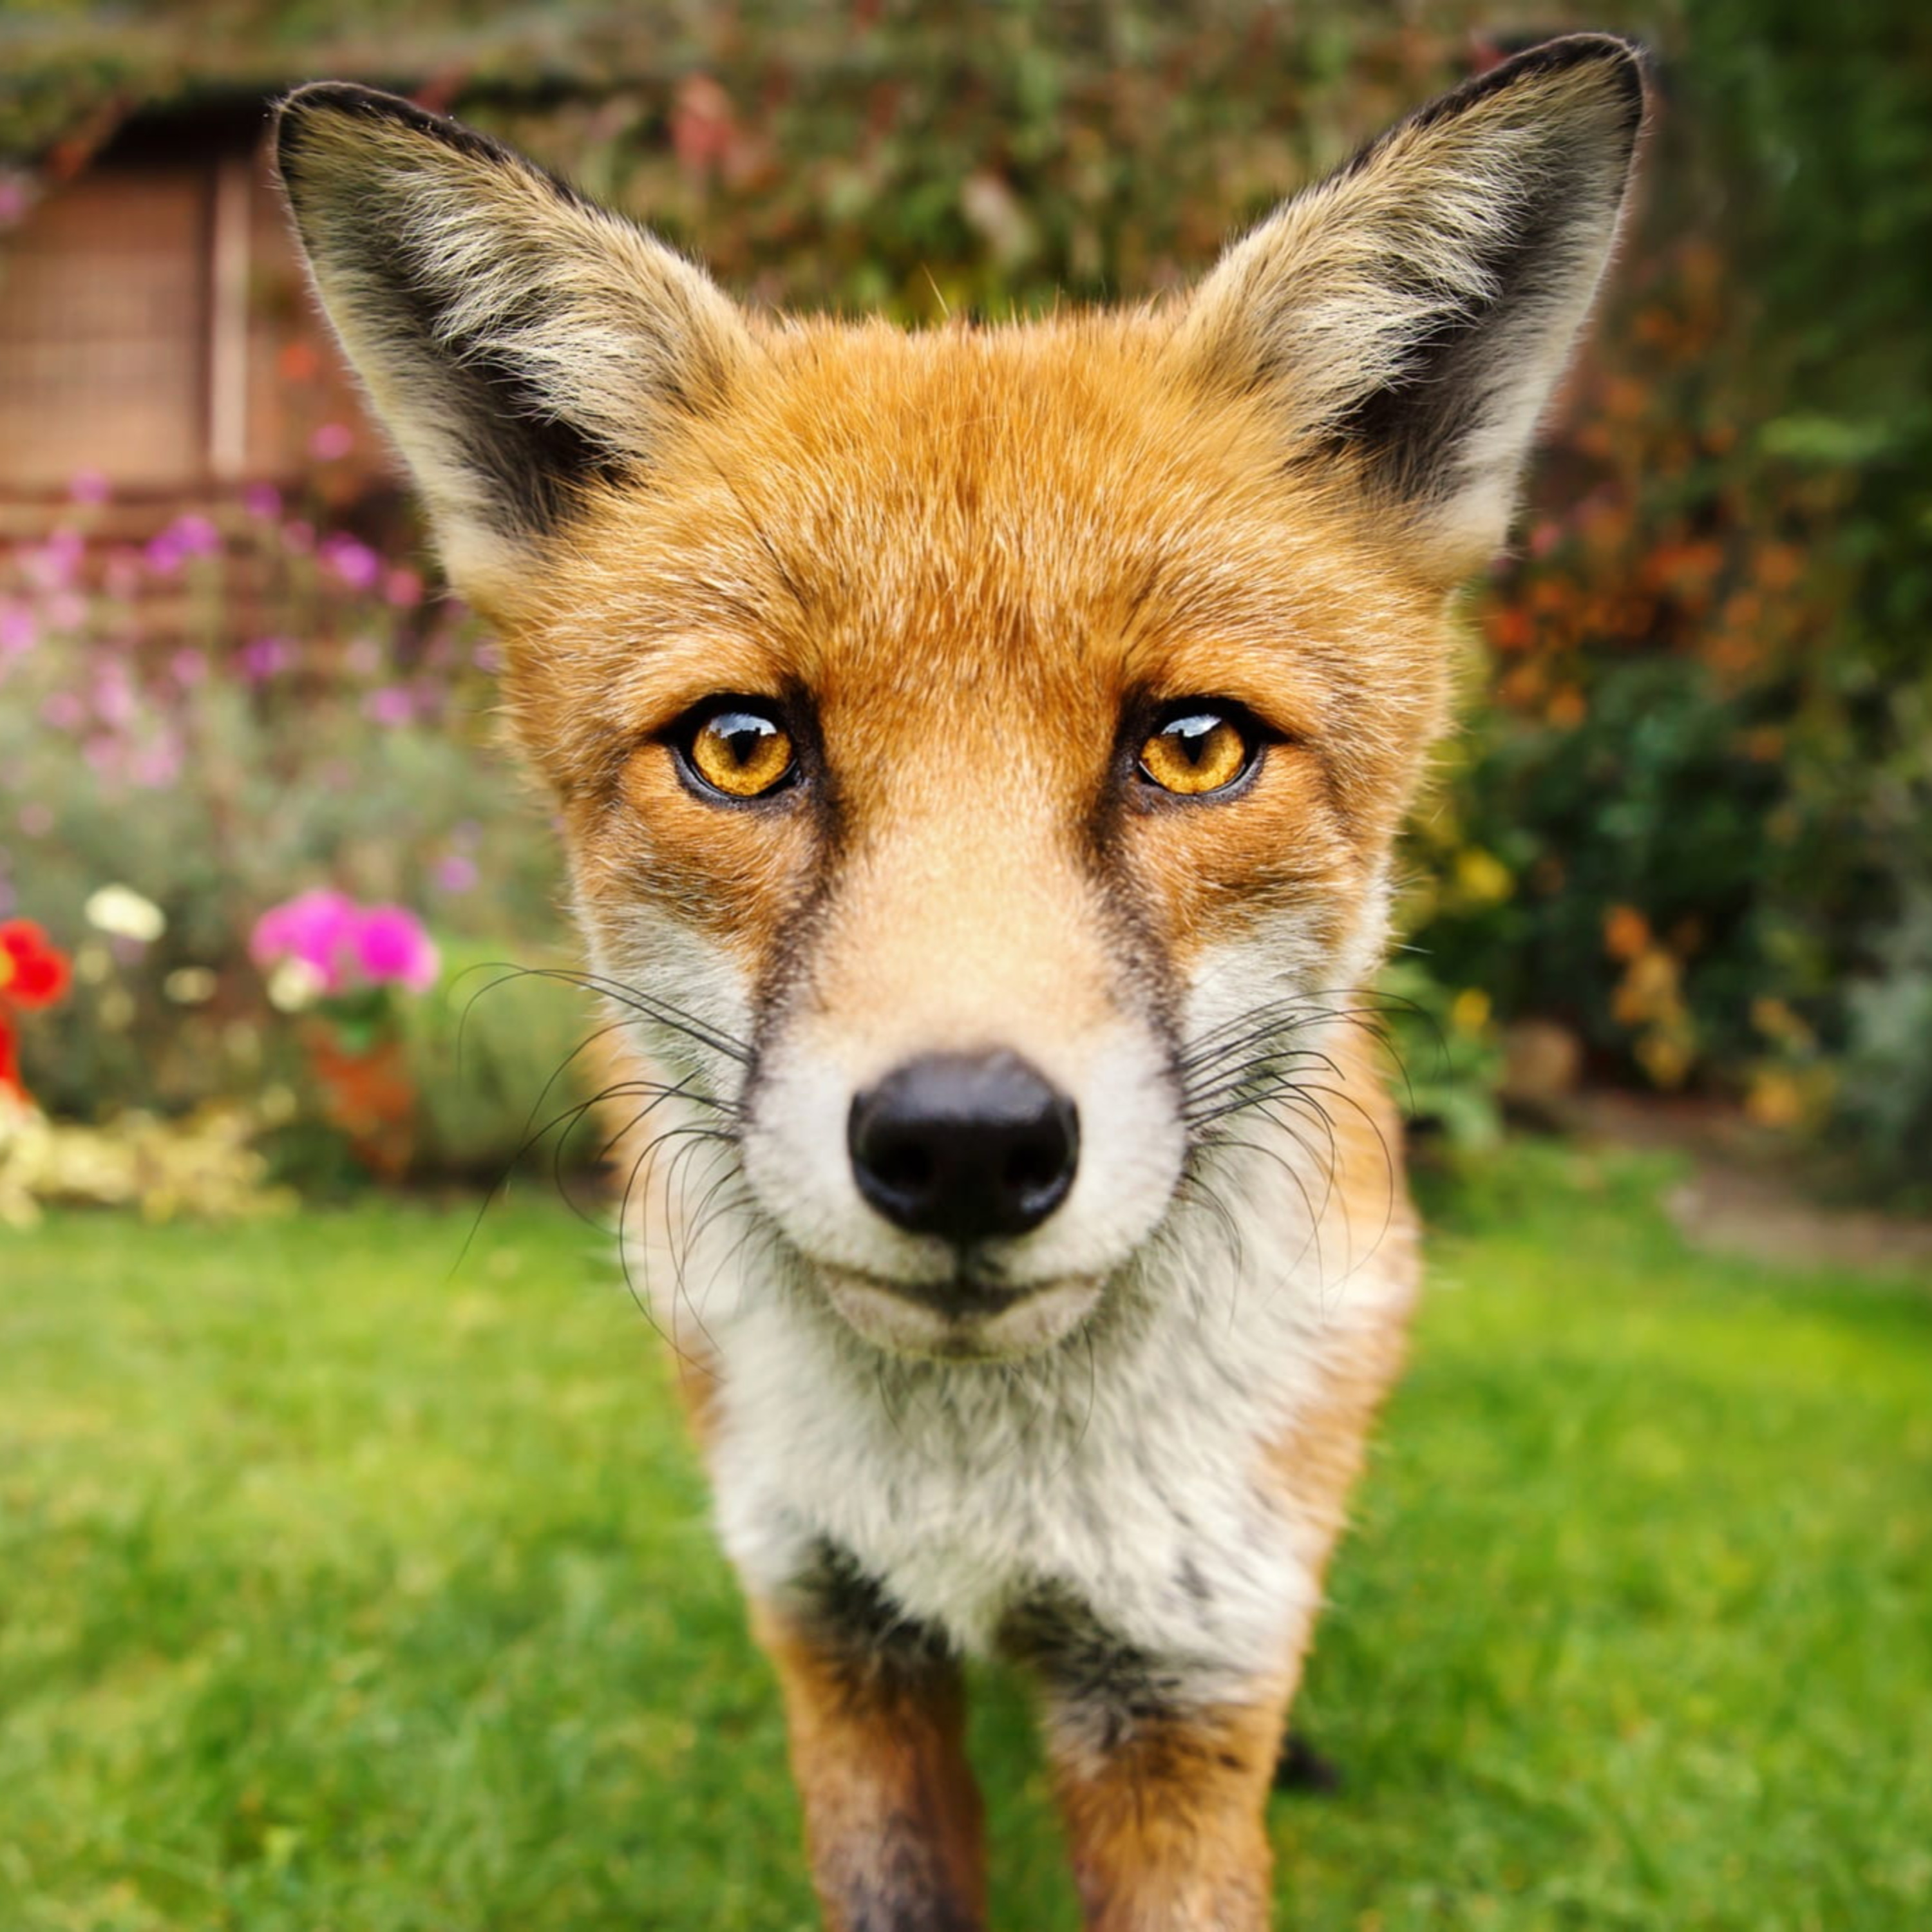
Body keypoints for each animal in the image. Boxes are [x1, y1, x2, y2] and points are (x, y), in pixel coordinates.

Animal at [275, 35, 1645, 1930]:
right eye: (742, 746)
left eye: (1196, 746)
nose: (966, 1144)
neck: (984, 1503)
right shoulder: (839, 1643)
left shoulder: (1177, 1693)